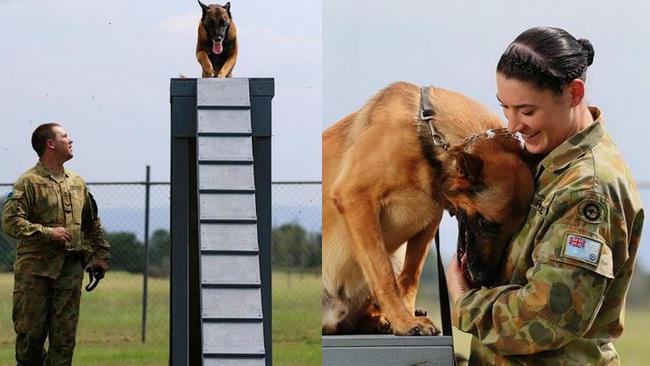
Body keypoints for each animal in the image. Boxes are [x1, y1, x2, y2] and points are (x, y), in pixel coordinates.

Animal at [322, 81, 536, 336]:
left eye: (514, 230)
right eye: (486, 224)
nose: (485, 280)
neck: (426, 141)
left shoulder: (429, 223)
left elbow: (410, 276)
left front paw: (405, 315)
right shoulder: (356, 197)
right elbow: (384, 274)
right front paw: (404, 321)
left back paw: (380, 321)